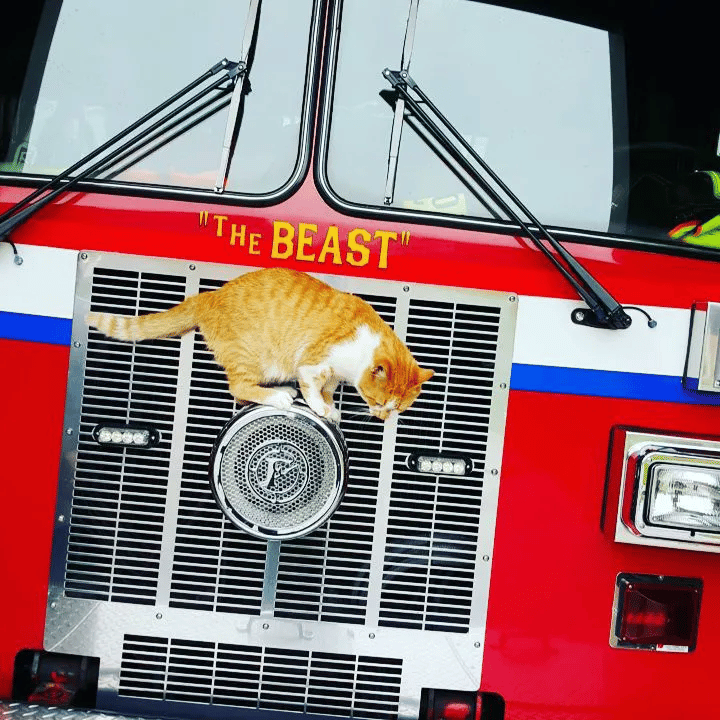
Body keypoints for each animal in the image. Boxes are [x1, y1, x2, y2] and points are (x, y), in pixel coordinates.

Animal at [85, 266, 434, 422]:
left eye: (398, 408)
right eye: (380, 402)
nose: (383, 419)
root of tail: (207, 296)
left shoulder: (333, 377)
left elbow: (327, 390)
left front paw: (330, 406)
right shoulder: (313, 363)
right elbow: (312, 388)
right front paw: (322, 408)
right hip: (253, 358)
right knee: (239, 388)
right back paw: (278, 396)